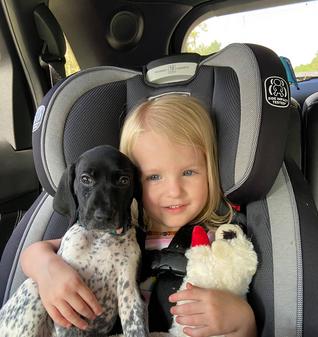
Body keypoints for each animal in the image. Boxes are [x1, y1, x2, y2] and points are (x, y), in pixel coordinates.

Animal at [0, 145, 148, 336]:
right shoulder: (69, 303)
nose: (103, 216)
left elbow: (136, 327)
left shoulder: (129, 294)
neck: (102, 237)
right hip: (33, 289)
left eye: (124, 180)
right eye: (85, 179)